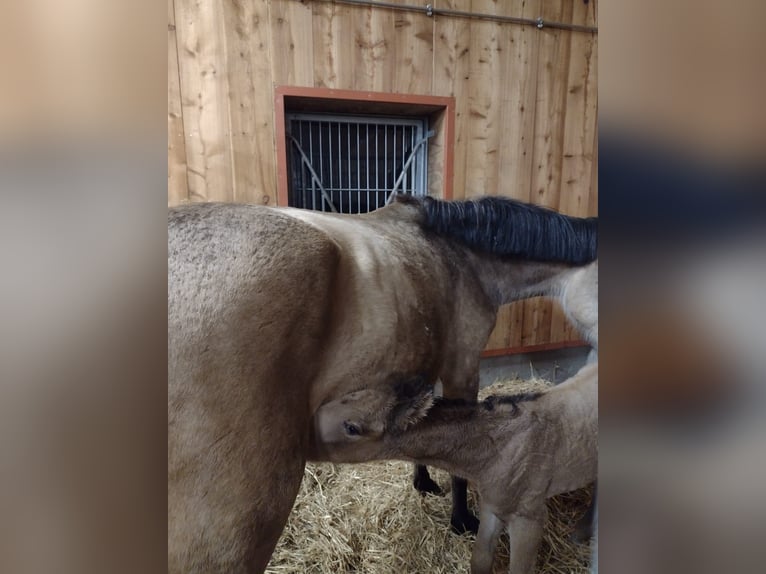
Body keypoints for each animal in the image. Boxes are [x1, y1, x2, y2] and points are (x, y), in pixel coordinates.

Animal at [308, 364, 600, 574]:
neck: (496, 448)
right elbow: (479, 560)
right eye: (347, 396)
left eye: (352, 427)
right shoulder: (492, 506)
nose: (302, 438)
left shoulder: (529, 517)